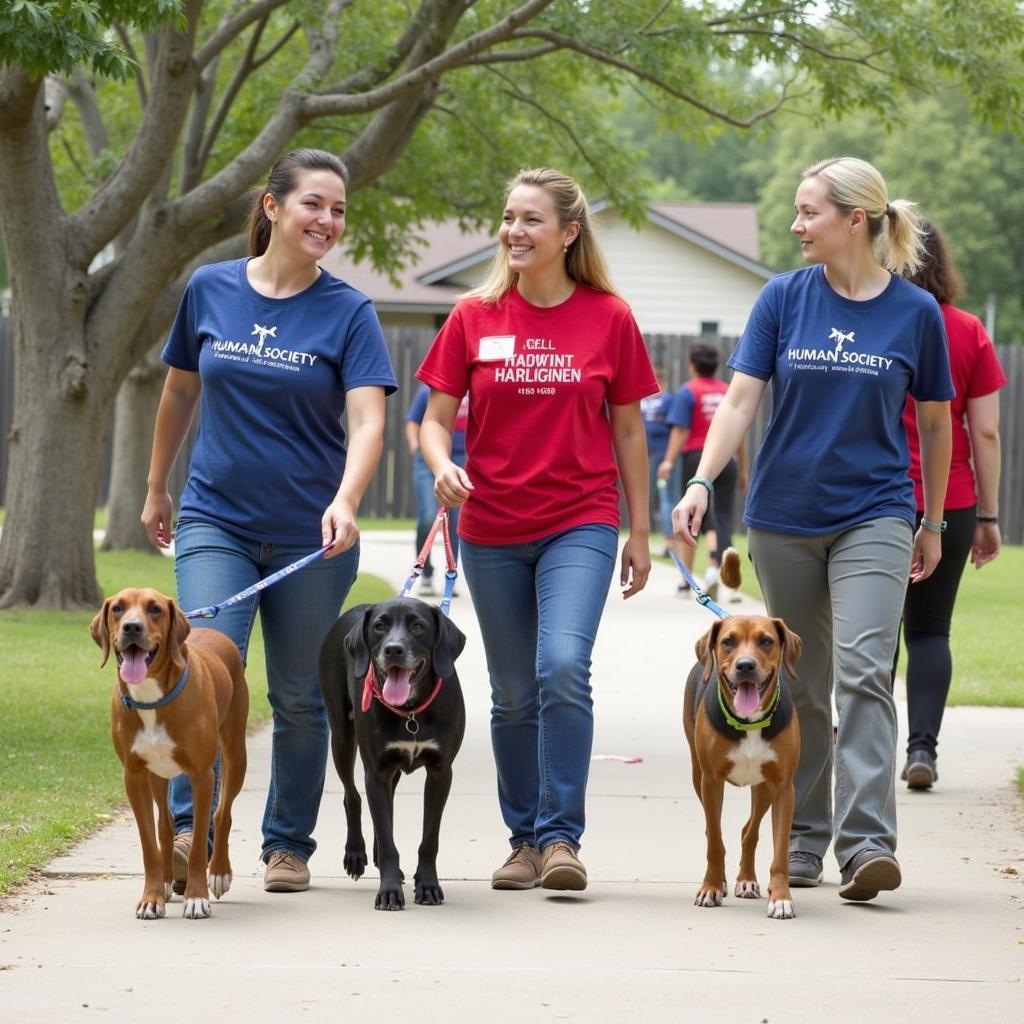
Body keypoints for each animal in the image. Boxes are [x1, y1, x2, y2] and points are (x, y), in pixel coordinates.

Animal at [93, 593, 250, 921]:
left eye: (154, 608)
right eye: (118, 608)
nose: (132, 627)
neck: (151, 698)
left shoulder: (202, 776)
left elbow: (199, 842)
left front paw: (196, 898)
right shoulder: (134, 776)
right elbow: (148, 843)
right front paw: (151, 897)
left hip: (235, 754)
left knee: (222, 813)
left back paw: (219, 872)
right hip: (158, 774)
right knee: (164, 826)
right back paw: (166, 879)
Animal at [317, 598, 466, 909]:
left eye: (419, 626)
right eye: (379, 626)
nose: (393, 649)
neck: (411, 712)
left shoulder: (440, 772)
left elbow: (428, 839)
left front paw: (428, 885)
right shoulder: (376, 772)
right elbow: (387, 840)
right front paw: (388, 890)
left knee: (388, 804)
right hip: (342, 738)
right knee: (353, 797)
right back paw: (356, 854)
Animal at [684, 610, 802, 917]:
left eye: (766, 641)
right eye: (728, 641)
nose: (746, 665)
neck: (750, 722)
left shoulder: (783, 787)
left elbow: (780, 850)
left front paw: (781, 897)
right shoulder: (711, 782)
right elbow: (715, 841)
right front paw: (711, 887)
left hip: (764, 788)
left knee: (749, 831)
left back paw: (746, 880)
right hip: (697, 776)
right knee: (716, 830)